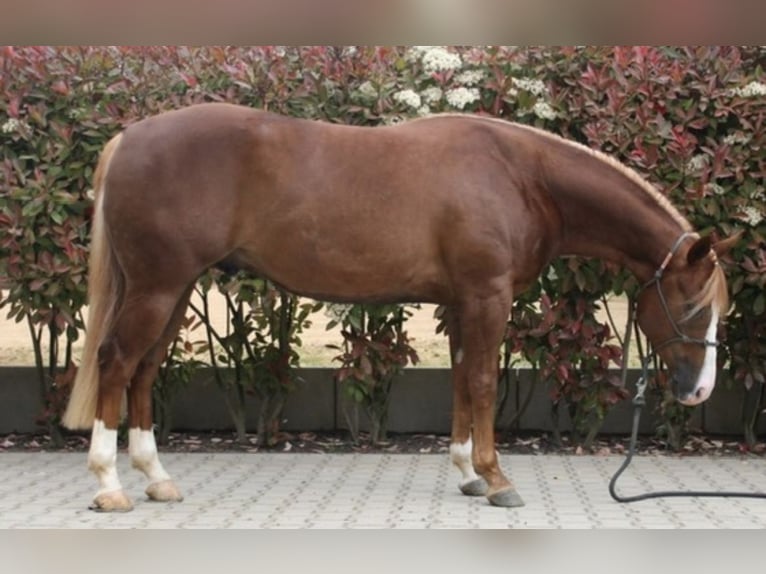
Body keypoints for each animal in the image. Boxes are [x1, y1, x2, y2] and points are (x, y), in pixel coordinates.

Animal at [62, 103, 737, 512]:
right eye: (693, 304)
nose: (701, 391)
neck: (520, 175)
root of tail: (129, 138)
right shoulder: (487, 295)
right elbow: (485, 383)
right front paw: (498, 480)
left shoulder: (464, 302)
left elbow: (463, 381)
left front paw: (468, 473)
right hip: (157, 287)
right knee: (117, 363)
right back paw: (110, 485)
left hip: (174, 291)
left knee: (145, 370)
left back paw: (156, 479)